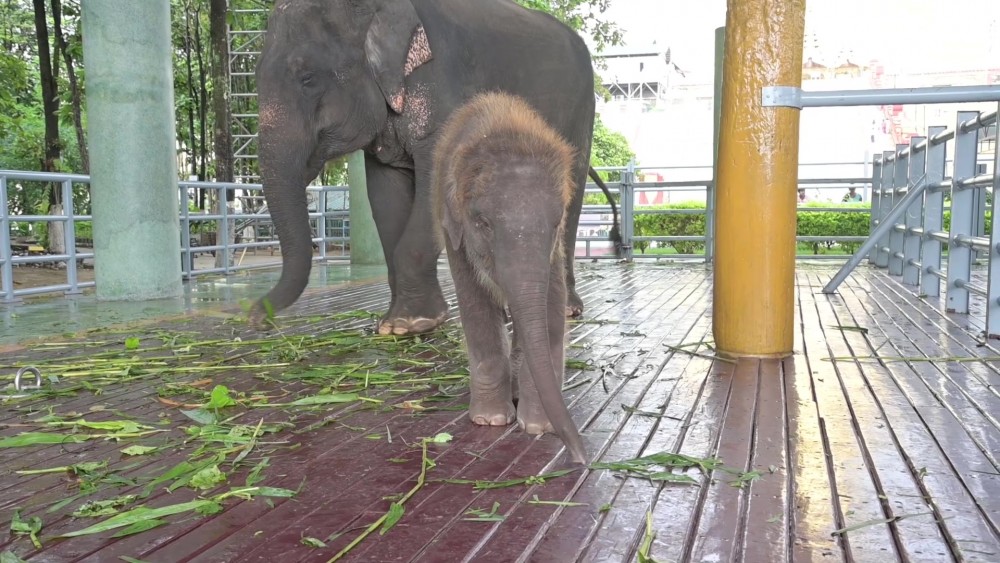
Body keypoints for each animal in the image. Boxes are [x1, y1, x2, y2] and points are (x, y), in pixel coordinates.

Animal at [247, 0, 620, 334]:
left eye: (307, 78)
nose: (255, 316)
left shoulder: (443, 92)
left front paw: (408, 323)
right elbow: (385, 201)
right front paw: (399, 324)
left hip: (579, 113)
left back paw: (565, 309)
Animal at [431, 91, 587, 464]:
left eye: (557, 222)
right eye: (483, 223)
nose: (580, 457)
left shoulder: (553, 250)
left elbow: (549, 306)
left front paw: (538, 426)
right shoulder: (454, 230)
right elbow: (476, 306)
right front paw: (490, 421)